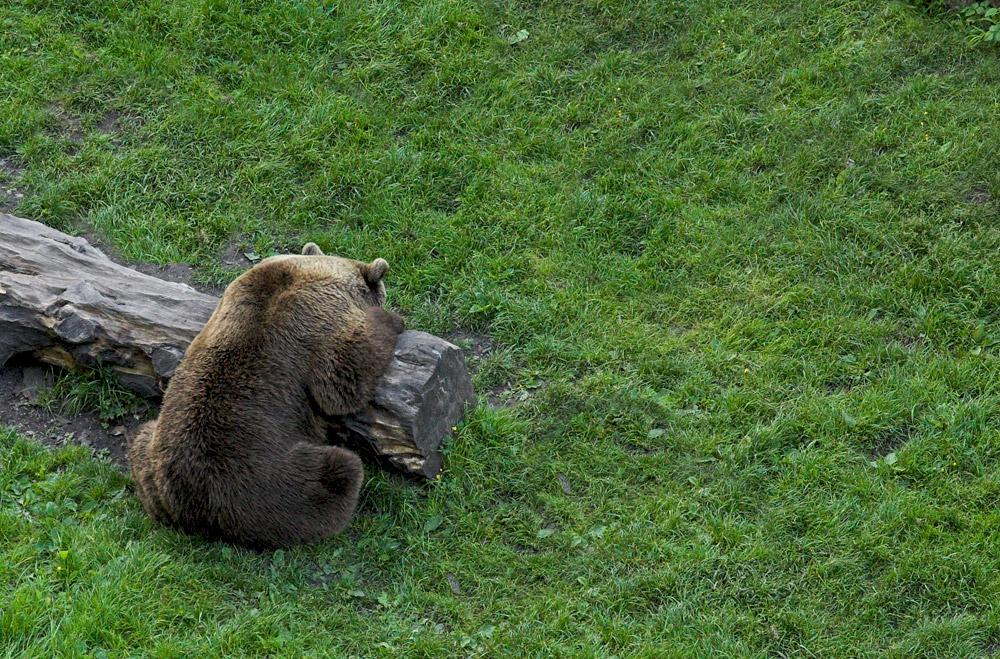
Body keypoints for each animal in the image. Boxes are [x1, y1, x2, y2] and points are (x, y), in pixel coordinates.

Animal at [128, 245, 402, 548]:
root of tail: (187, 504)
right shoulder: (321, 323)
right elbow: (342, 383)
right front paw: (392, 319)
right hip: (266, 480)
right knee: (338, 473)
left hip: (155, 454)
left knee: (141, 438)